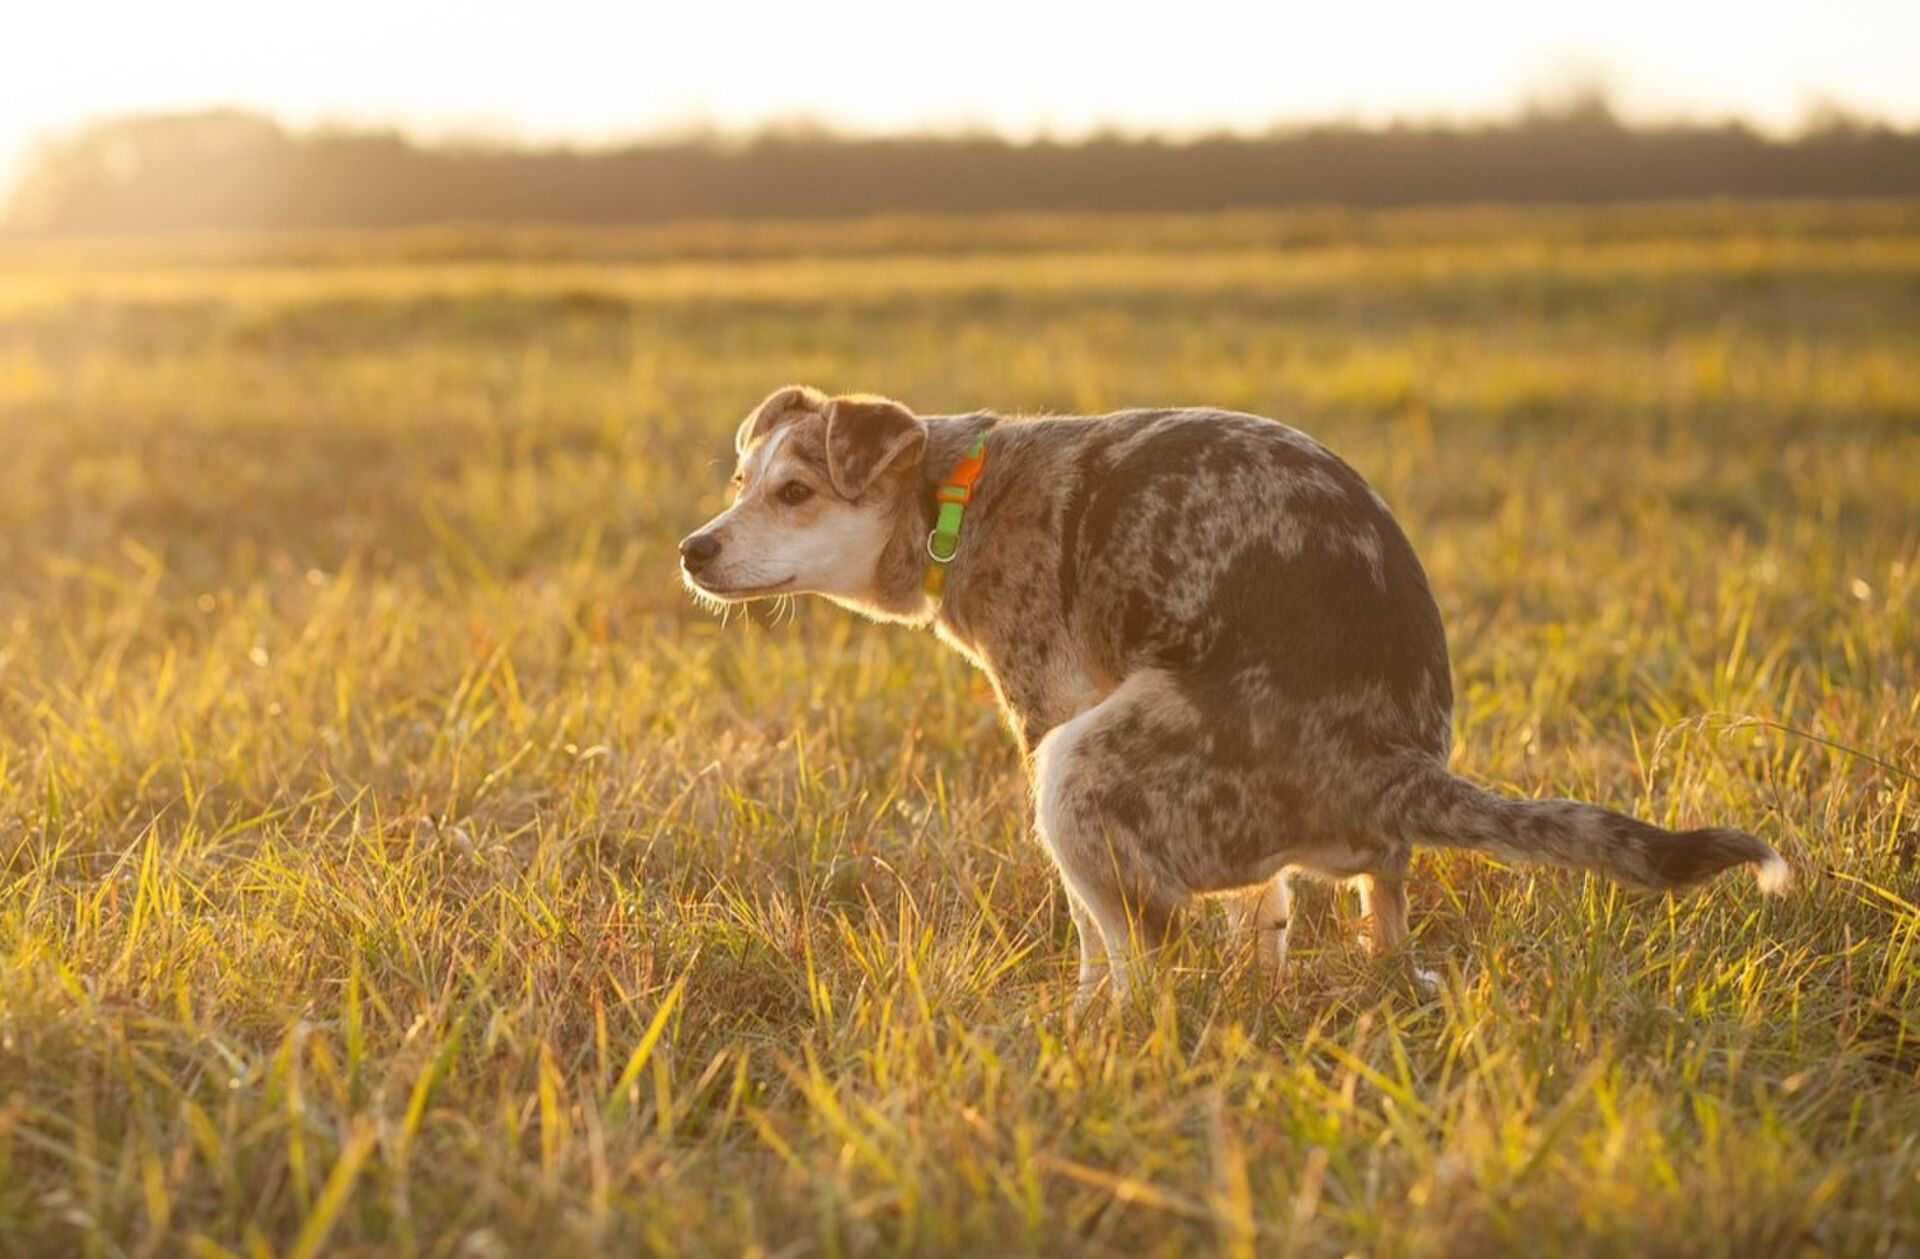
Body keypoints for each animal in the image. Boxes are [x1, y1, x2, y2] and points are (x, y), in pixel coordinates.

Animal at [675, 383, 1781, 1005]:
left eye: (794, 493)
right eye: (737, 481)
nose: (692, 549)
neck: (958, 494)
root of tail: (1394, 764)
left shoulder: (1048, 711)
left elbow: (1092, 933)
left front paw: (1081, 1014)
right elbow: (1265, 912)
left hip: (1078, 768)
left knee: (1148, 956)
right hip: (1326, 849)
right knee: (1370, 912)